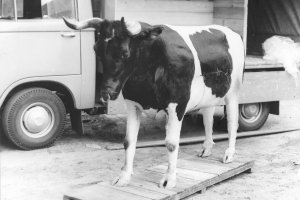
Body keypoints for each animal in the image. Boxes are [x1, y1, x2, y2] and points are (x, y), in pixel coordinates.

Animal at [62, 16, 244, 188]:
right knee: (208, 119)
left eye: (124, 52)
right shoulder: (132, 104)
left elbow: (171, 143)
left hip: (233, 92)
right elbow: (129, 141)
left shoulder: (177, 104)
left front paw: (169, 180)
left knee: (232, 122)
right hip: (210, 96)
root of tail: (231, 31)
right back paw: (206, 148)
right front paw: (124, 177)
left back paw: (229, 154)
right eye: (96, 50)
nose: (106, 93)